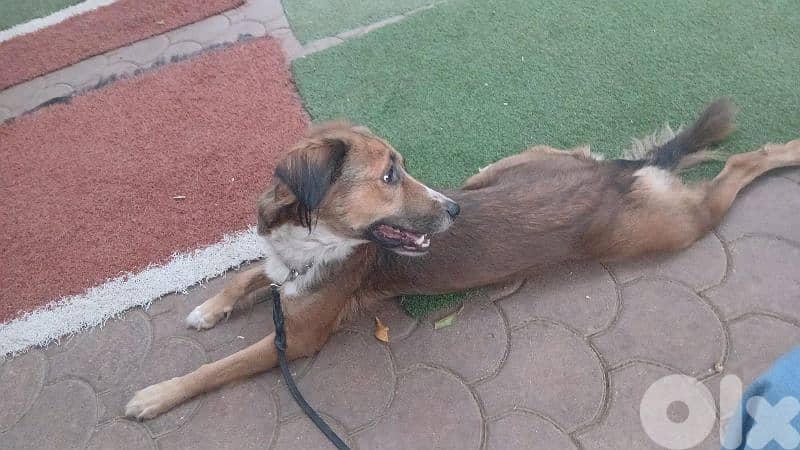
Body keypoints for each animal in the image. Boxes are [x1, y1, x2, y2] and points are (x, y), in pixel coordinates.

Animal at [125, 99, 800, 419]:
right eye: (389, 175)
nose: (450, 211)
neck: (312, 242)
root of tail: (613, 175)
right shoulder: (279, 269)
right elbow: (248, 274)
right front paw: (208, 309)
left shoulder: (305, 337)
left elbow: (219, 368)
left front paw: (154, 396)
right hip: (511, 164)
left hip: (677, 226)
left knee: (740, 166)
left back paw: (785, 151)